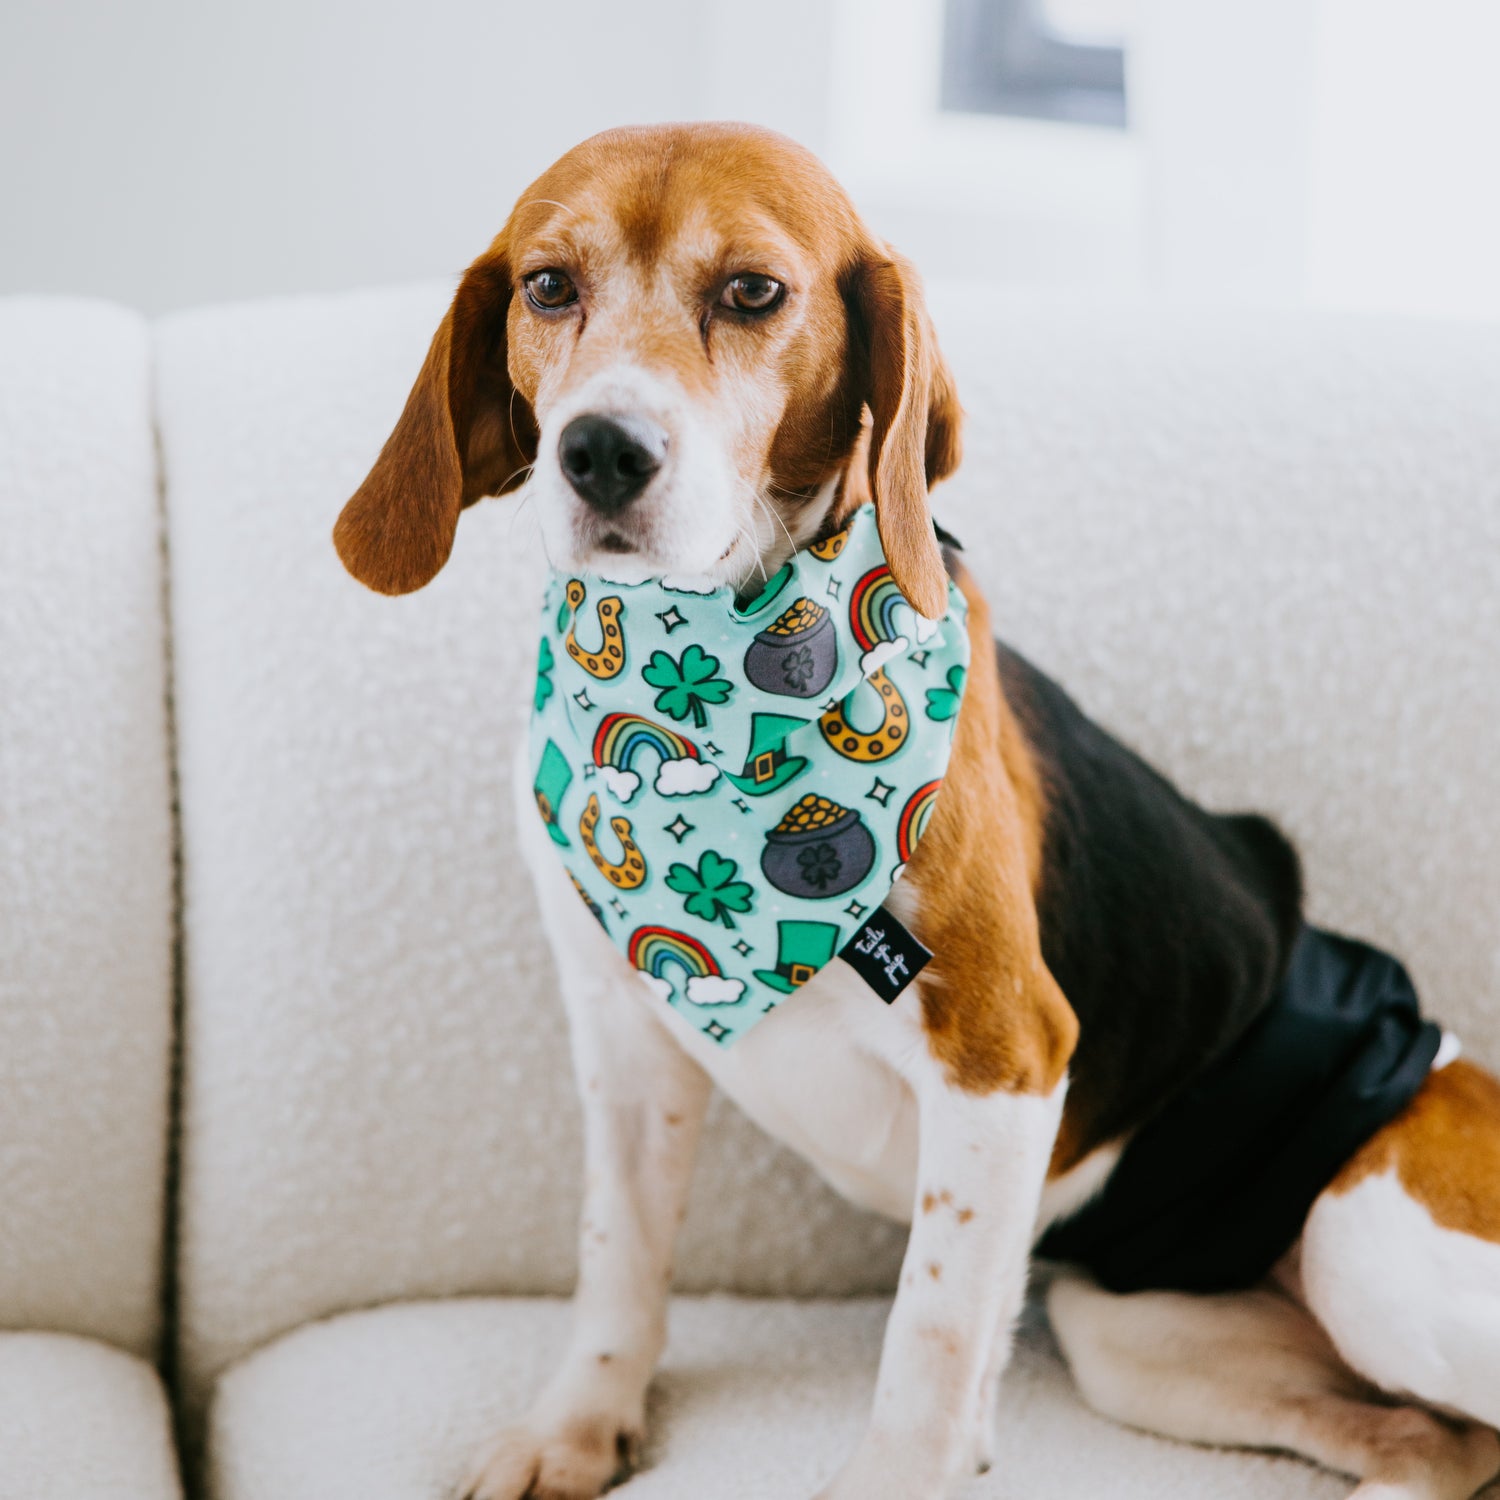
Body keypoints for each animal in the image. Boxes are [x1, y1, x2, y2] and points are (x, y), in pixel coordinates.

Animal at [334, 126, 1500, 1500]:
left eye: (753, 292)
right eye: (549, 286)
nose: (601, 450)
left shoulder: (1004, 1057)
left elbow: (931, 1335)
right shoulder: (624, 1045)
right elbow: (618, 1256)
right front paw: (579, 1421)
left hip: (1369, 1246)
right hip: (1137, 1332)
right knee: (1441, 1442)